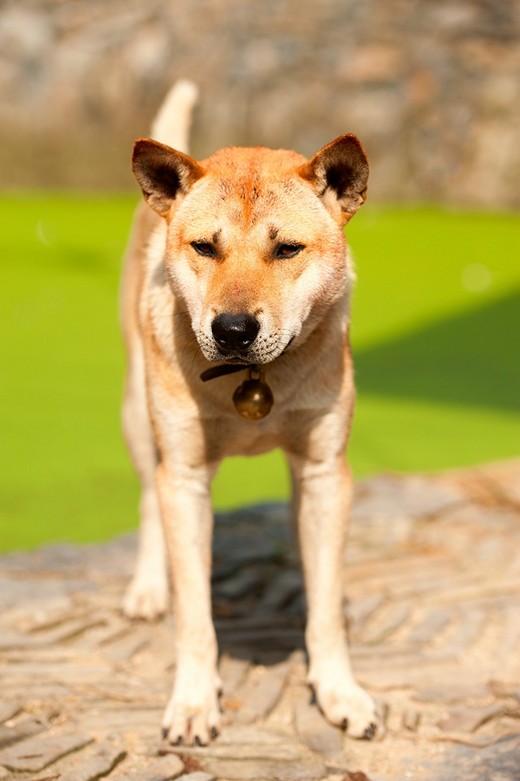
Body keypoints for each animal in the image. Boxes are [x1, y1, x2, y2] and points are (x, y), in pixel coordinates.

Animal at [121, 82, 378, 748]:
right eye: (205, 246)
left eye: (286, 248)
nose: (233, 330)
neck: (252, 384)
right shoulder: (185, 476)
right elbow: (195, 614)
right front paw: (192, 702)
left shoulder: (325, 469)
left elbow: (326, 604)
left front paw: (340, 692)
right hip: (138, 414)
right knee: (146, 498)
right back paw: (147, 588)